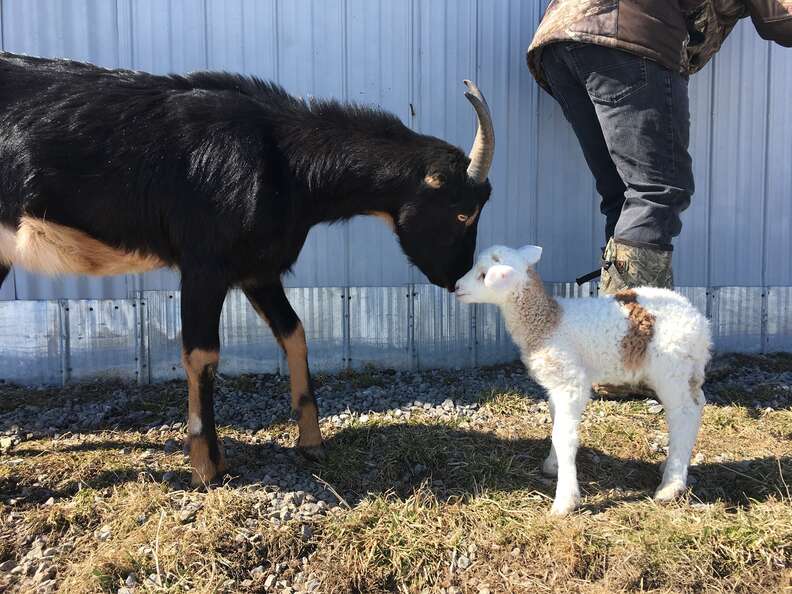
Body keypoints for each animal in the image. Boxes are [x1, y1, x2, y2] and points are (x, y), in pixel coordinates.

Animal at [0, 53, 496, 484]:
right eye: (462, 213)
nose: (456, 278)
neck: (284, 162)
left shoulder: (258, 268)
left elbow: (294, 332)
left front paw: (311, 442)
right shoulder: (205, 265)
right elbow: (202, 354)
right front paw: (207, 466)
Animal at [458, 245, 712, 512]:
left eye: (483, 275)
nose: (456, 286)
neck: (547, 322)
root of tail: (700, 323)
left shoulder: (571, 382)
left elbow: (564, 437)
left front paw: (565, 501)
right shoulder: (556, 382)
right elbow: (556, 423)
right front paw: (553, 465)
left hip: (672, 368)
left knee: (683, 414)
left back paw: (671, 485)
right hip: (688, 369)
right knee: (697, 404)